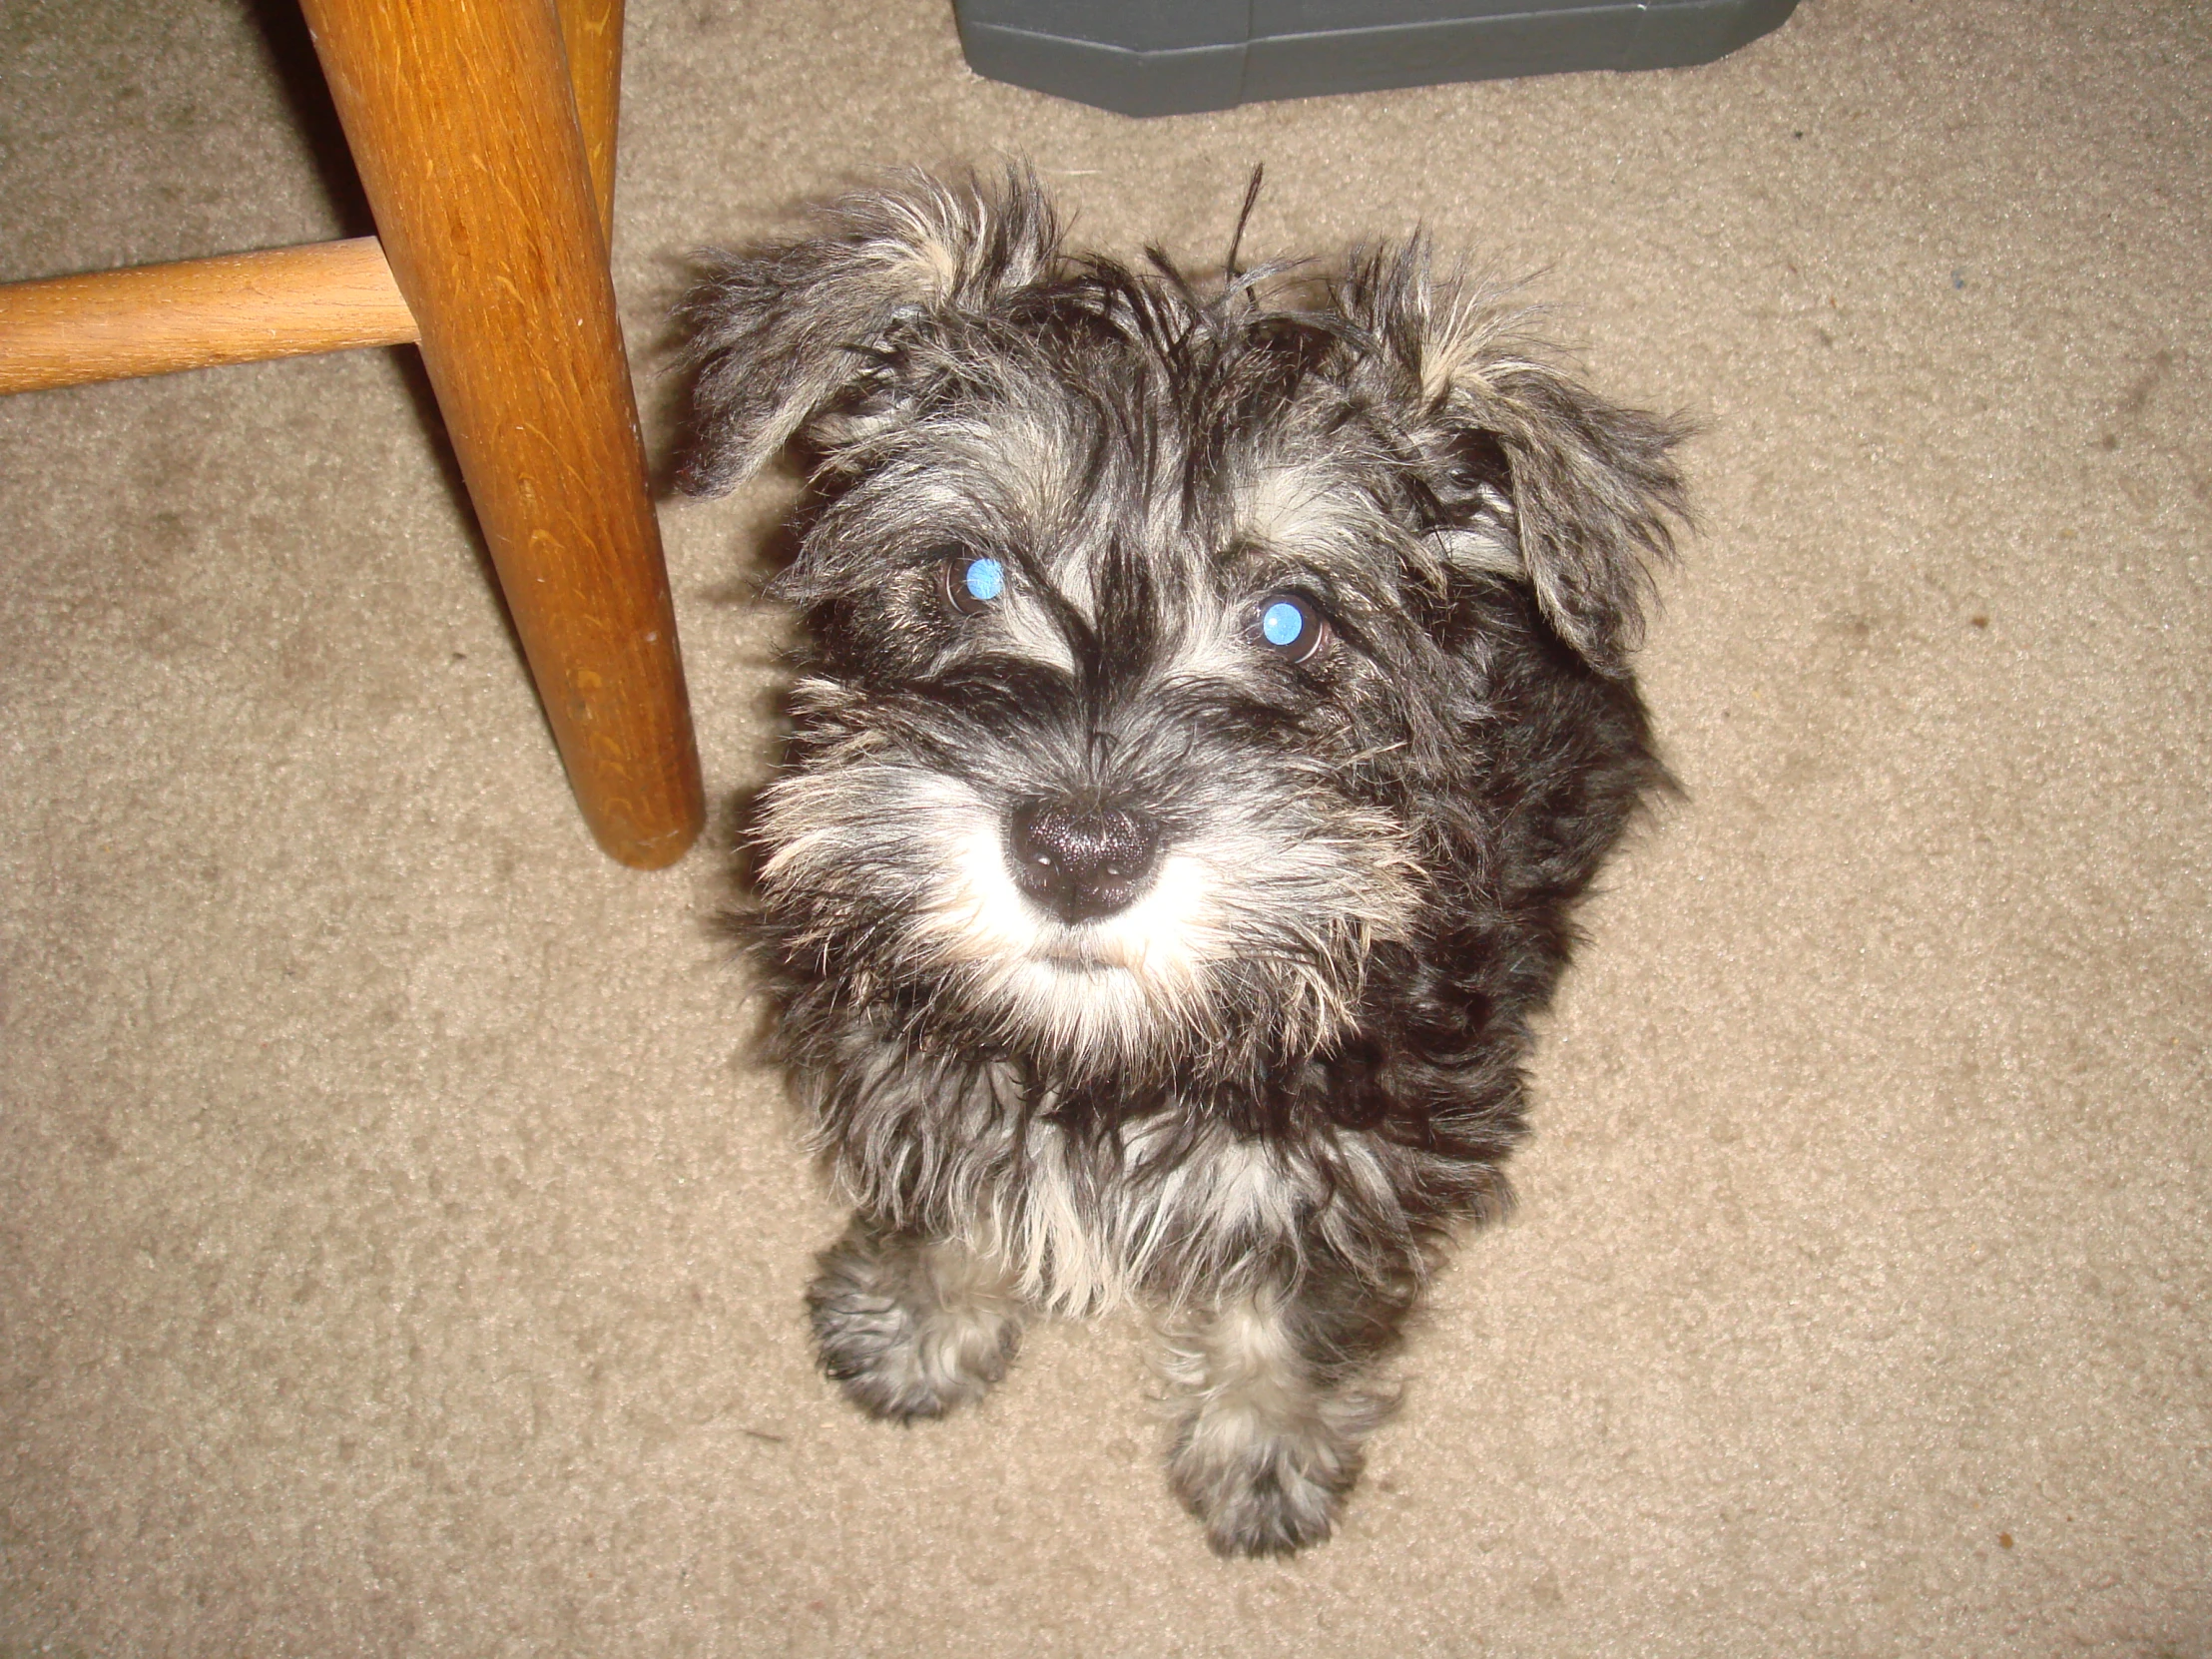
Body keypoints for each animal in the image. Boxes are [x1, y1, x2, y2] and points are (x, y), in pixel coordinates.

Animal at [681, 172, 1681, 1557]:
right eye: (971, 573)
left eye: (1290, 618)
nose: (1080, 850)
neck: (1103, 1060)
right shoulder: (903, 1050)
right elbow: (944, 1188)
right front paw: (919, 1318)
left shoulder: (1357, 1160)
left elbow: (1296, 1307)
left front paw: (1264, 1448)